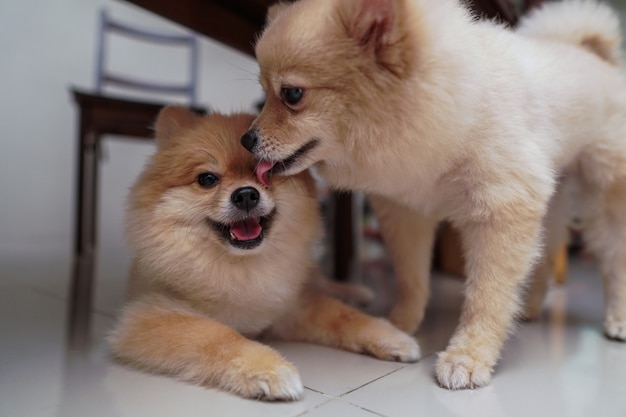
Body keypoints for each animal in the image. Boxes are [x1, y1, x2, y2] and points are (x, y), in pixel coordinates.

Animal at [108, 106, 420, 400]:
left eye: (267, 173)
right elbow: (219, 335)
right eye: (207, 179)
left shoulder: (290, 306)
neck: (241, 267)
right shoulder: (150, 315)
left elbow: (343, 316)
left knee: (325, 284)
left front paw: (393, 336)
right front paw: (269, 369)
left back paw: (357, 292)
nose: (246, 194)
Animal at [241, 0, 624, 390]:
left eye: (291, 94)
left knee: (614, 260)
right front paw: (400, 323)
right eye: (263, 93)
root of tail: (598, 57)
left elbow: (486, 295)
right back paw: (527, 308)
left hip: (606, 198)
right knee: (545, 254)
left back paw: (617, 319)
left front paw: (468, 355)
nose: (247, 139)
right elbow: (411, 276)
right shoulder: (405, 210)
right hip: (554, 200)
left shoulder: (501, 210)